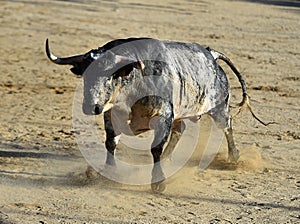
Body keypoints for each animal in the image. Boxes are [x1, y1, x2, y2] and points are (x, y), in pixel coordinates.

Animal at [45, 37, 270, 192]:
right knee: (180, 129)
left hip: (218, 107)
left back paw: (234, 157)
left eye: (111, 76)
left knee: (226, 124)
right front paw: (109, 173)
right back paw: (169, 159)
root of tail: (210, 55)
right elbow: (111, 143)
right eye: (85, 75)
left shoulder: (163, 115)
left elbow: (155, 147)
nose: (91, 106)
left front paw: (158, 183)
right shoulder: (111, 115)